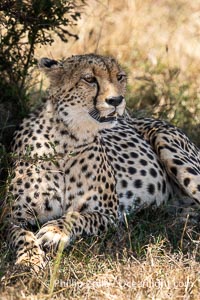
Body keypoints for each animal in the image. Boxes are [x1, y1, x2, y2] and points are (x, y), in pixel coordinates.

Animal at [5, 52, 200, 270]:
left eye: (119, 77)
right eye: (89, 79)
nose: (116, 100)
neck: (67, 139)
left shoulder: (110, 215)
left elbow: (78, 216)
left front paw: (55, 231)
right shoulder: (12, 216)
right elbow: (21, 234)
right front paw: (29, 258)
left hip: (169, 146)